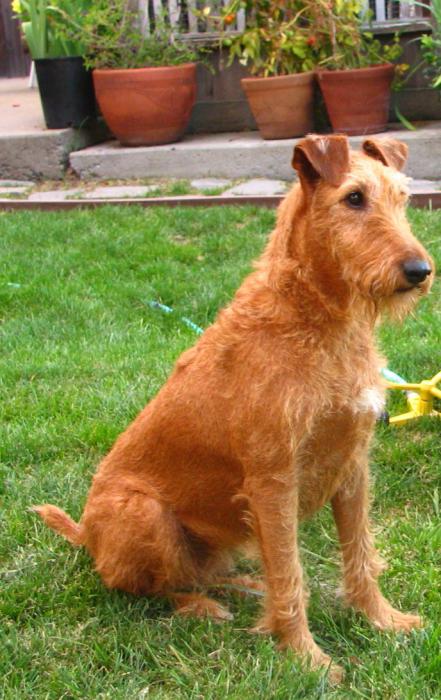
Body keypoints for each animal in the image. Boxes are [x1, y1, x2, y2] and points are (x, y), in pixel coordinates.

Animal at [35, 134, 434, 680]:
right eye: (354, 198)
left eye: (402, 197)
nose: (420, 271)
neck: (316, 320)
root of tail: (85, 537)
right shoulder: (273, 482)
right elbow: (291, 574)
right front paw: (307, 660)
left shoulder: (352, 466)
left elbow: (360, 555)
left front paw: (382, 620)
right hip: (143, 513)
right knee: (149, 588)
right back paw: (204, 607)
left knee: (202, 573)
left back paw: (243, 588)